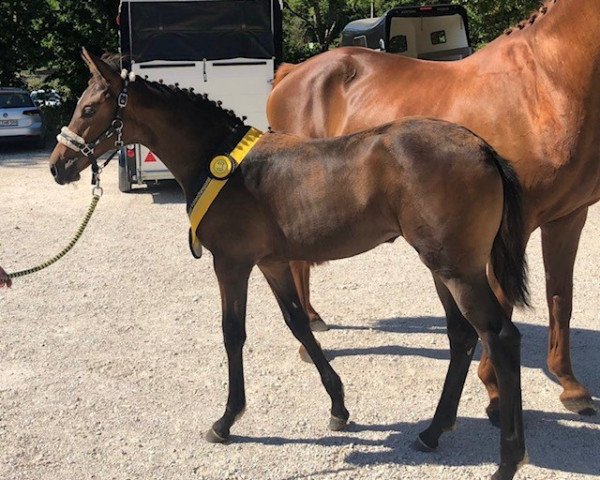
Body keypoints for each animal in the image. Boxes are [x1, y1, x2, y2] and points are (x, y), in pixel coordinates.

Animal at [50, 50, 528, 480]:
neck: (221, 164)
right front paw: (338, 407)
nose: (58, 166)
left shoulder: (231, 264)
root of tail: (481, 146)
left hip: (458, 271)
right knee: (463, 336)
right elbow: (298, 323)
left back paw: (509, 459)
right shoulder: (273, 264)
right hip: (441, 268)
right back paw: (432, 432)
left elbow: (233, 333)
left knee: (500, 337)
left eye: (89, 108)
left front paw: (227, 420)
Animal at [270, 0, 600, 420]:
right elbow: (502, 303)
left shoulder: (568, 217)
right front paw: (495, 390)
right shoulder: (514, 227)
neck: (544, 84)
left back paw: (313, 320)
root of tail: (292, 73)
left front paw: (571, 387)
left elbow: (560, 297)